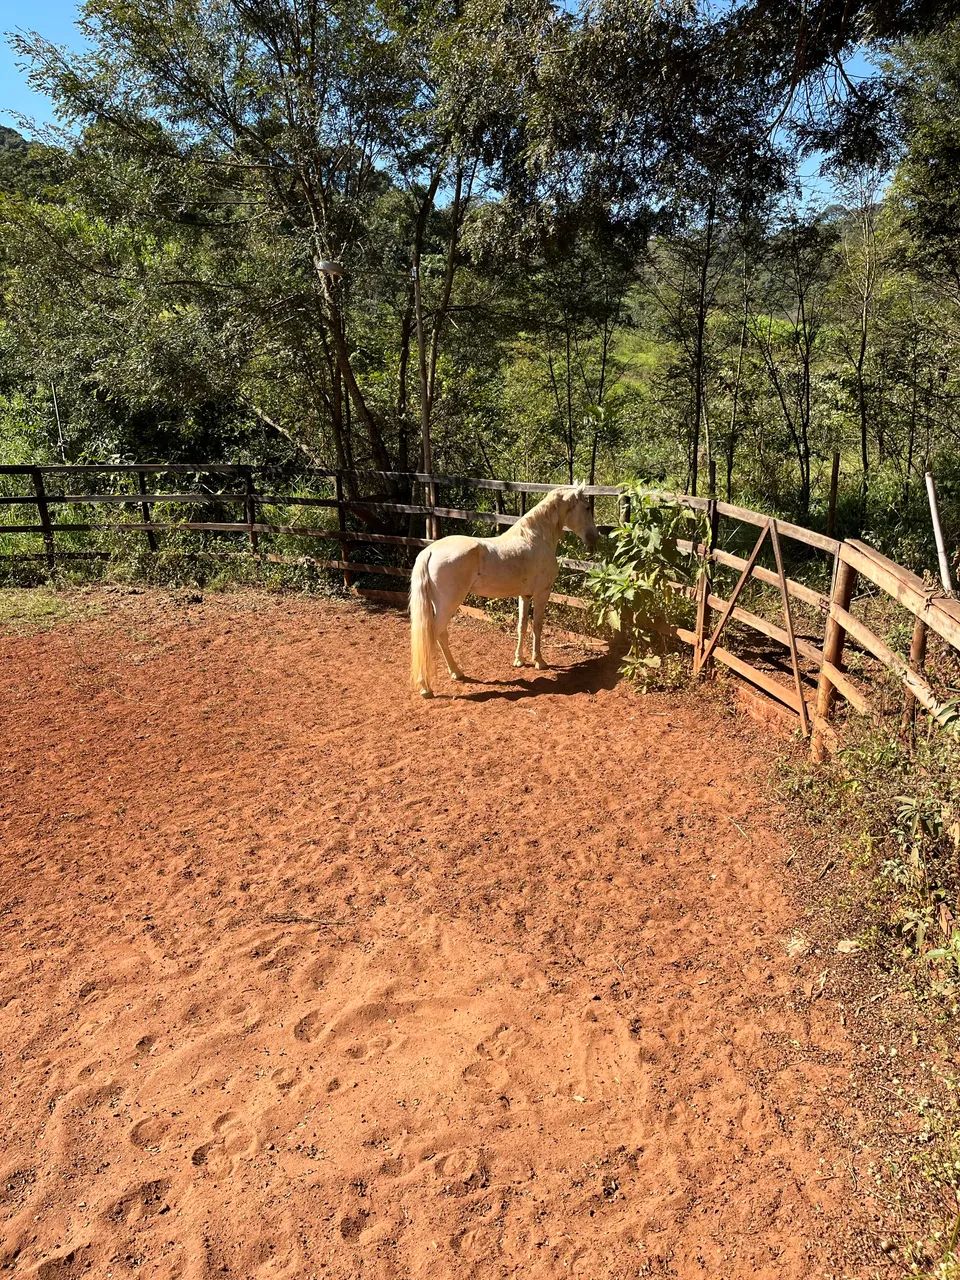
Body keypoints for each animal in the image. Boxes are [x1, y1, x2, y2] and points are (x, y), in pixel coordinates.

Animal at [409, 483, 599, 697]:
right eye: (587, 508)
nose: (594, 538)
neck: (536, 537)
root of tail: (430, 551)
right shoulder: (542, 593)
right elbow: (537, 626)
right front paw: (539, 662)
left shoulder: (525, 595)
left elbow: (522, 625)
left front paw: (519, 660)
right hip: (448, 604)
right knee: (434, 634)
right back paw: (427, 686)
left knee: (439, 635)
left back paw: (456, 673)